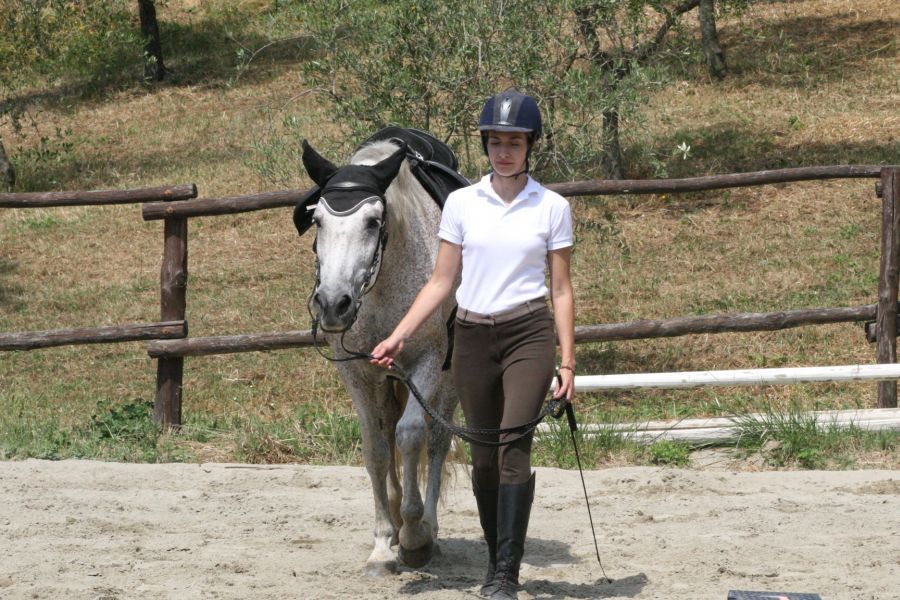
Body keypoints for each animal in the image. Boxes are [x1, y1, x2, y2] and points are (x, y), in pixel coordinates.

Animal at [300, 138, 460, 576]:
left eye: (373, 222)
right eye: (317, 220)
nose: (332, 303)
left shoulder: (427, 362)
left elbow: (411, 435)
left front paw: (415, 536)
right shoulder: (358, 375)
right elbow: (375, 448)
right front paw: (384, 543)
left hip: (448, 380)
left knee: (436, 441)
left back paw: (429, 529)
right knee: (388, 435)